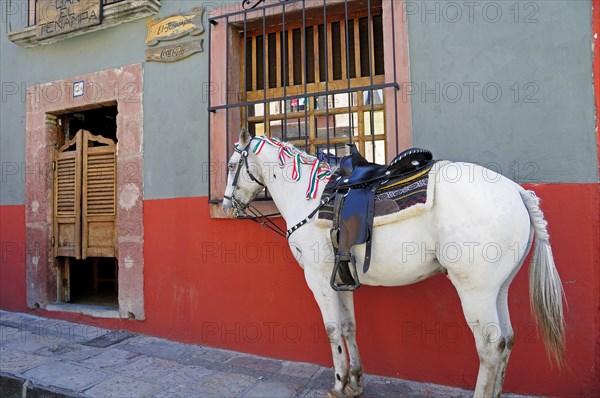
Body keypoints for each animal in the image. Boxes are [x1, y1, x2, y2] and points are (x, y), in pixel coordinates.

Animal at [223, 129, 564, 396]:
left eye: (231, 165)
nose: (226, 205)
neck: (310, 198)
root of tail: (517, 191)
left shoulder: (319, 277)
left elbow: (332, 329)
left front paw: (338, 384)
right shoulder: (341, 276)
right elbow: (349, 326)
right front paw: (355, 382)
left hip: (475, 291)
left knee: (491, 346)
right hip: (498, 288)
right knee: (507, 340)